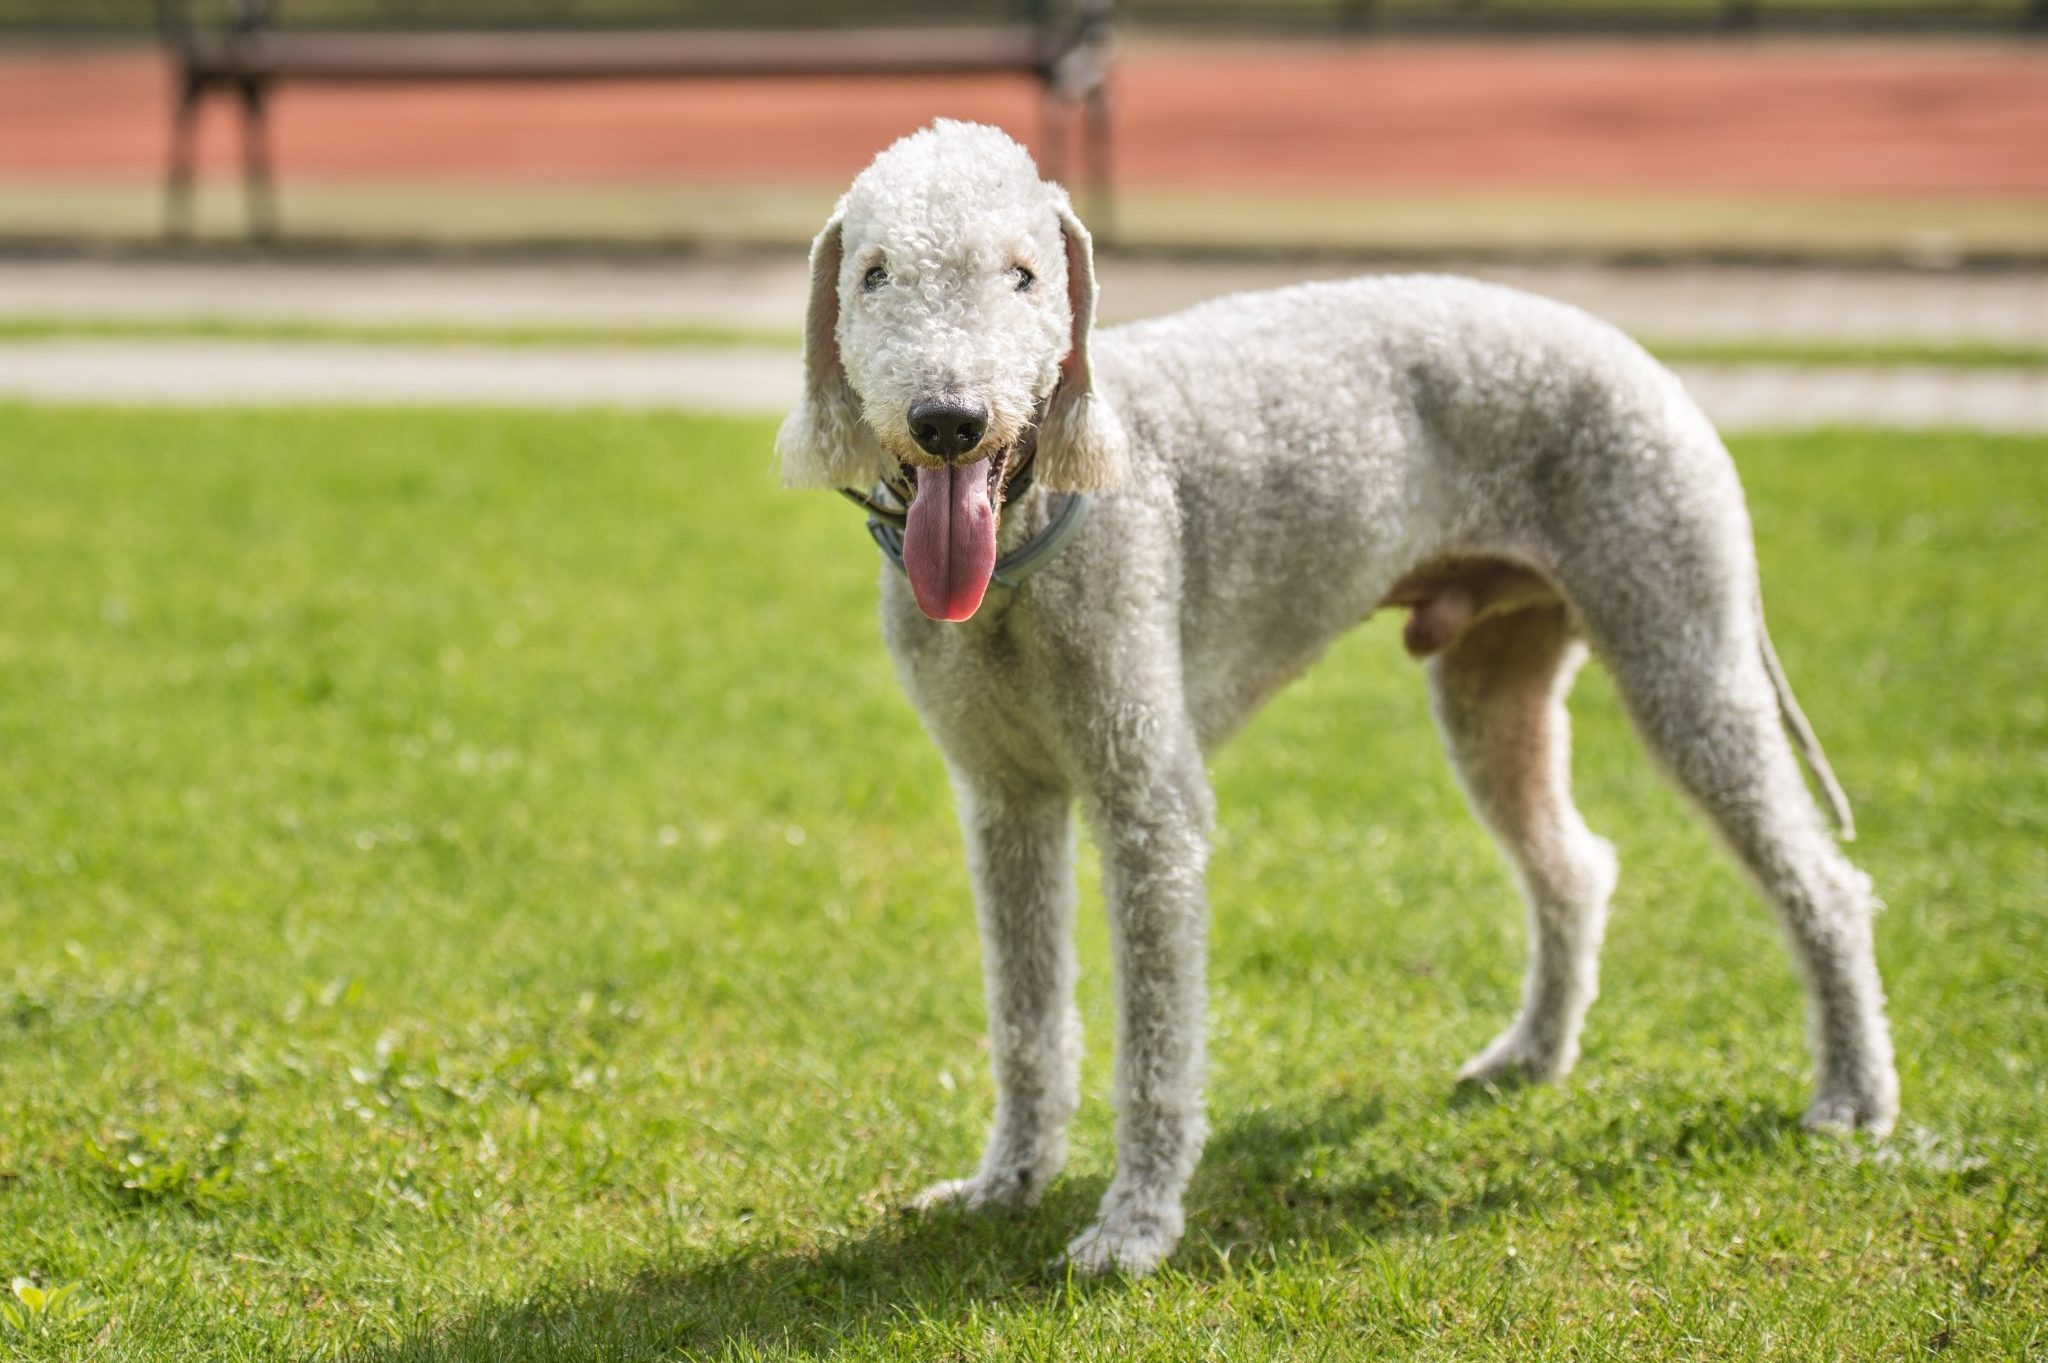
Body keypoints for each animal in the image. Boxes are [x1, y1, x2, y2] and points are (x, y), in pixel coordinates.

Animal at [774, 122, 1892, 1268]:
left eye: (1024, 275)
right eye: (873, 275)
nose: (948, 419)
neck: (1024, 535)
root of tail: (1640, 358)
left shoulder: (1148, 803)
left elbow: (1157, 1042)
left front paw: (1134, 1228)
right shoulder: (1003, 800)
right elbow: (1026, 1019)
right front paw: (1005, 1182)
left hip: (1681, 644)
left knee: (1824, 885)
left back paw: (1851, 1097)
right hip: (1493, 686)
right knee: (1573, 868)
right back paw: (1530, 1056)